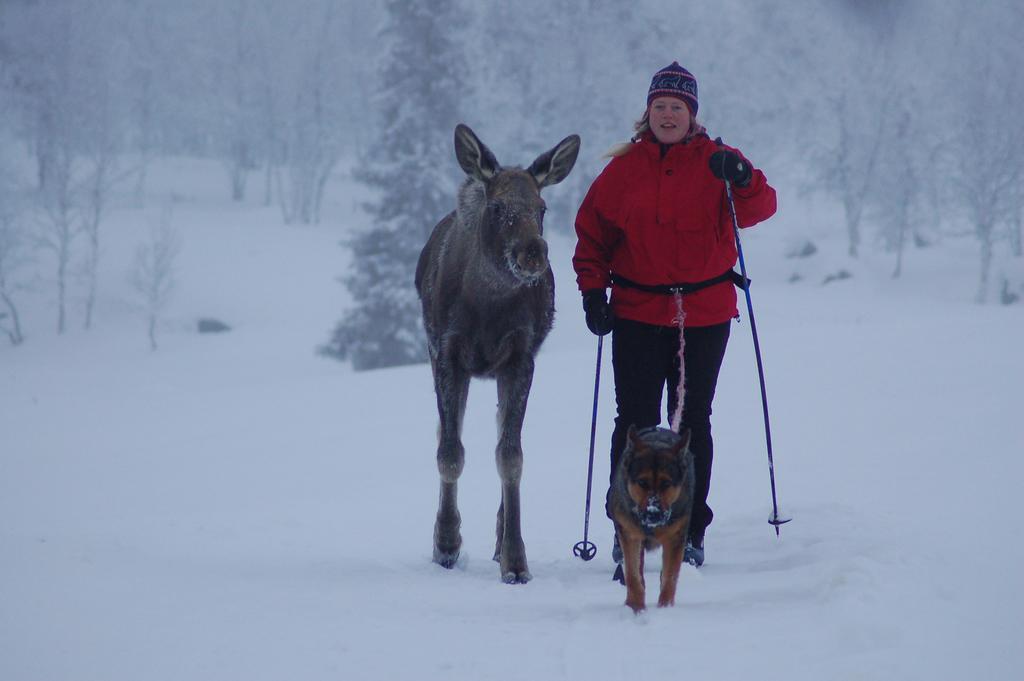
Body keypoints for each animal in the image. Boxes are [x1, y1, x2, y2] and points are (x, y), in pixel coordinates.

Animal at [606, 426, 696, 610]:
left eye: (666, 484)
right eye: (642, 482)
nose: (653, 513)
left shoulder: (675, 537)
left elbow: (670, 577)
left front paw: (665, 608)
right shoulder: (629, 533)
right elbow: (633, 575)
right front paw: (635, 607)